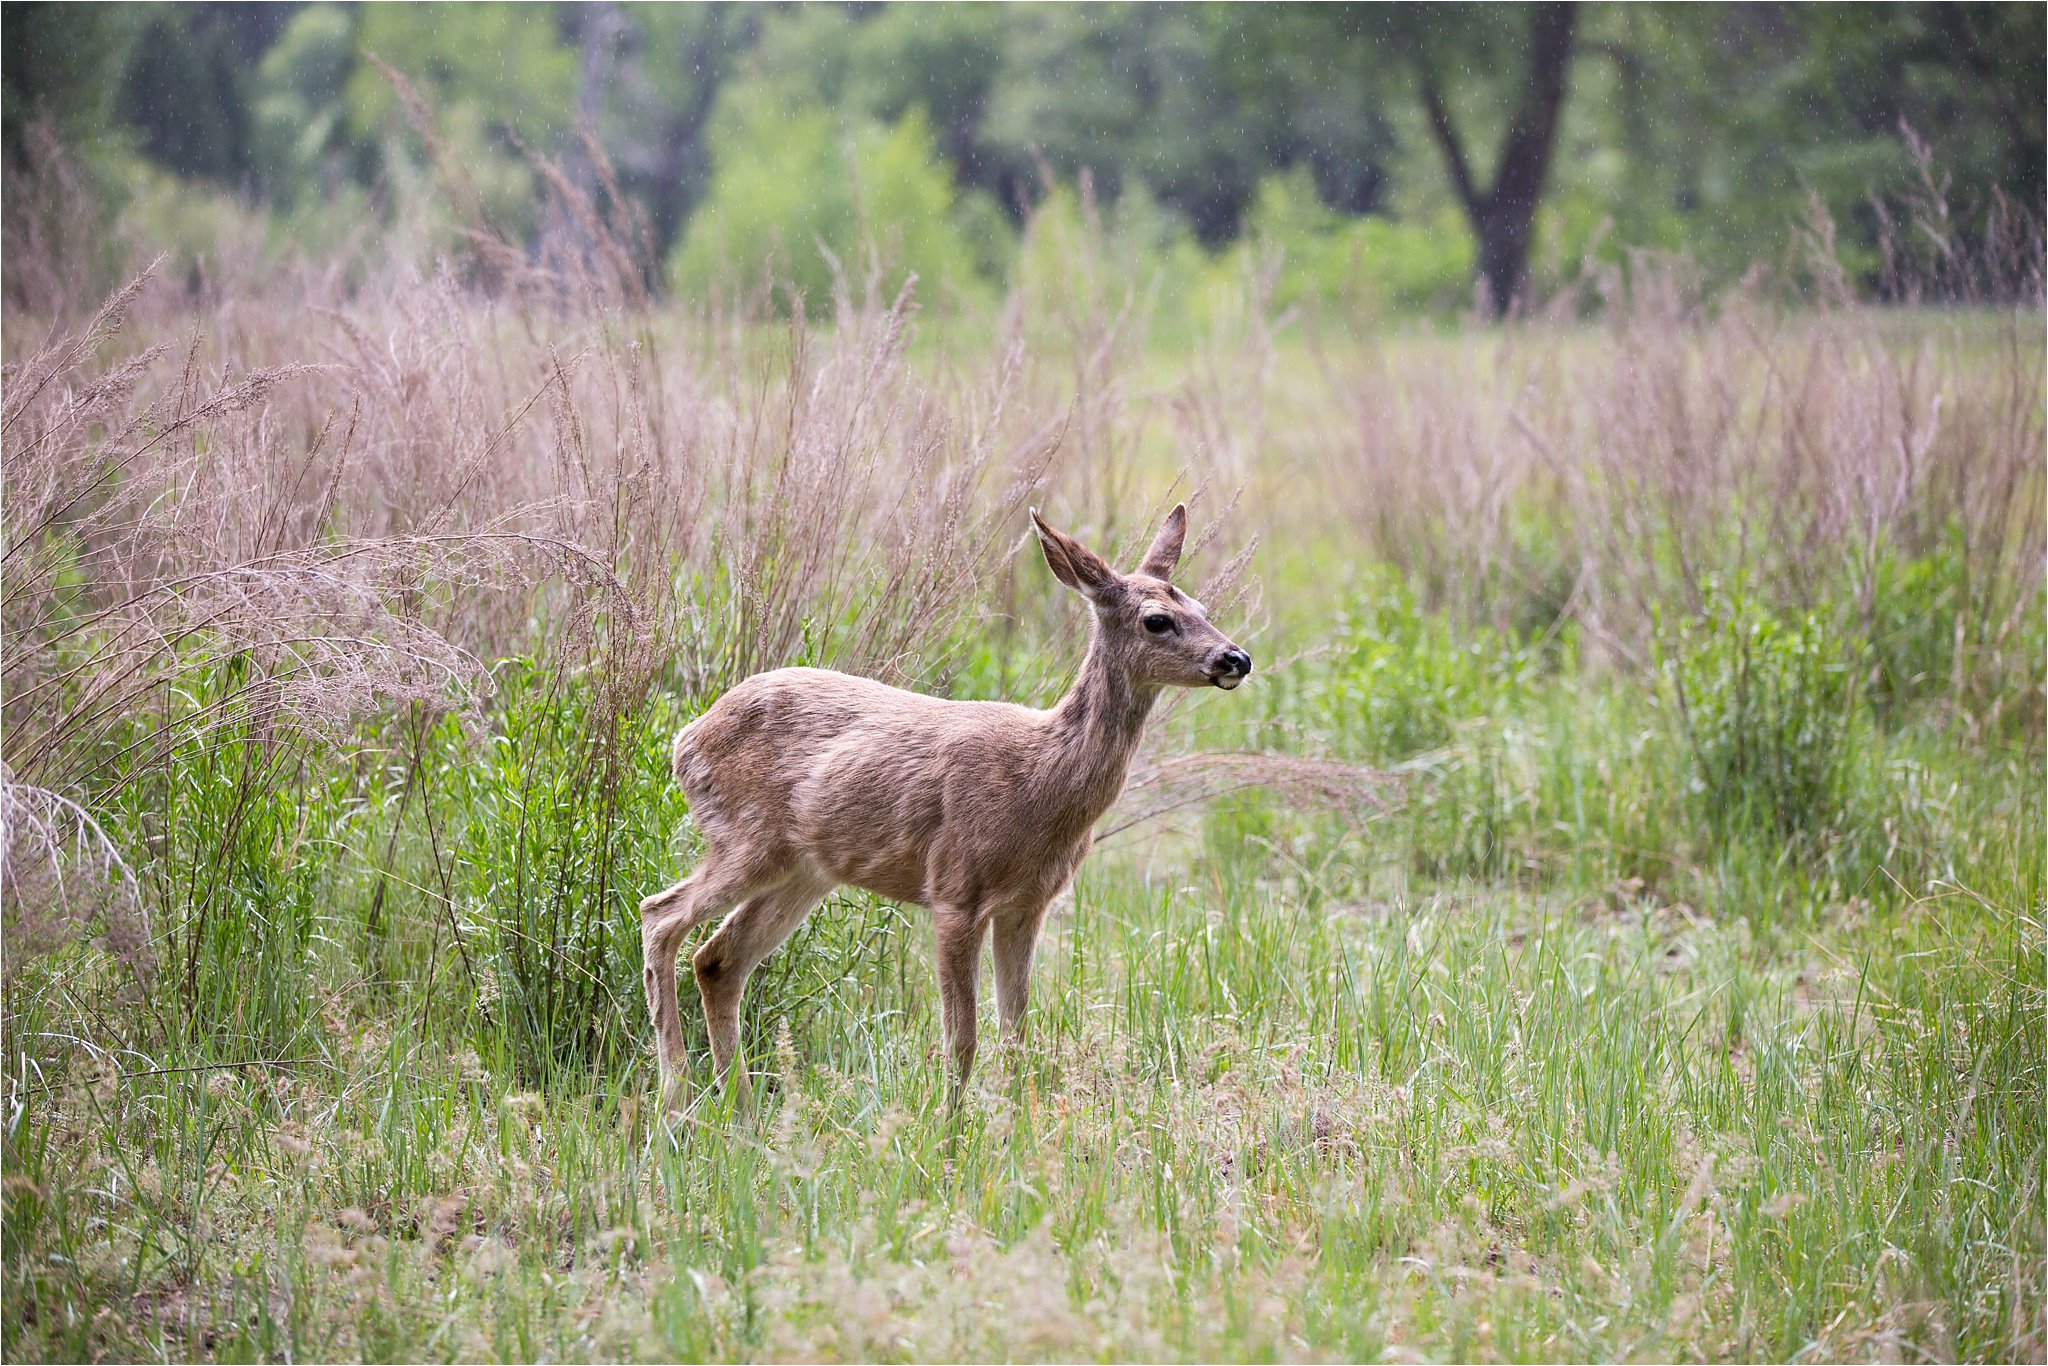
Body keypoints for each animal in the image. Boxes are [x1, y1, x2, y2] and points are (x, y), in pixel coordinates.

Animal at [637, 503, 1252, 1105]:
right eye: (1157, 619)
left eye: (1201, 606)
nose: (1236, 658)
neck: (1041, 781)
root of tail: (685, 738)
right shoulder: (956, 887)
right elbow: (963, 1038)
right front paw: (949, 1126)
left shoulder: (1028, 904)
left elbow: (1016, 1033)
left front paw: (1015, 1121)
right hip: (746, 838)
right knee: (659, 915)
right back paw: (676, 1094)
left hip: (806, 869)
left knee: (717, 960)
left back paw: (737, 1108)